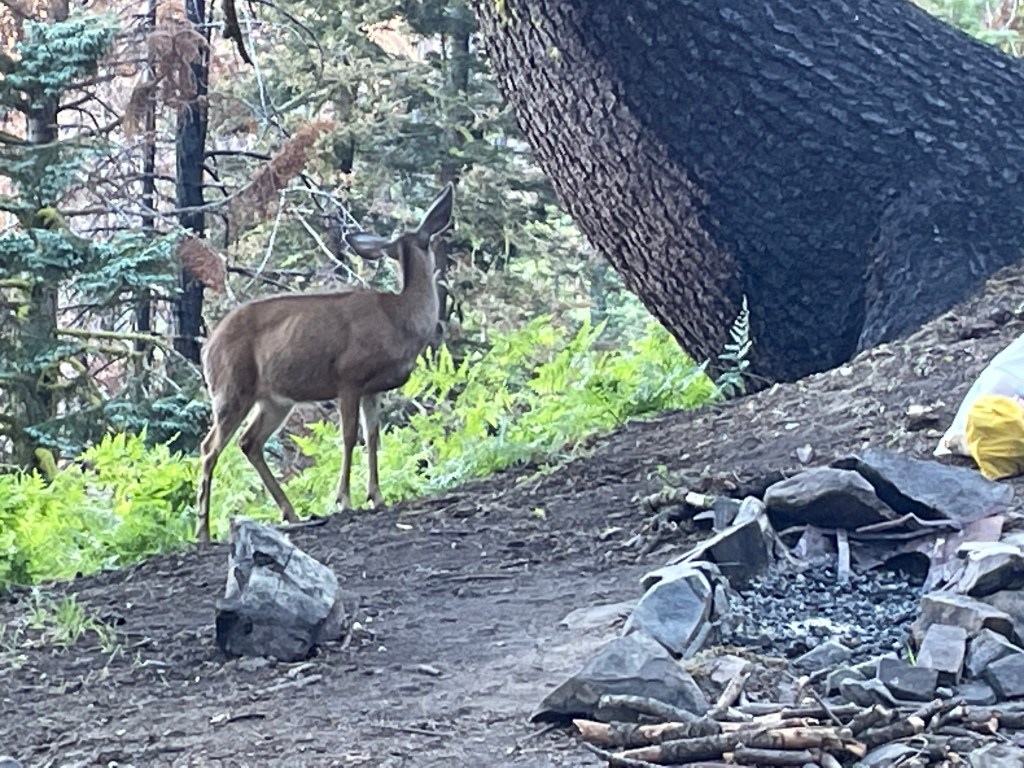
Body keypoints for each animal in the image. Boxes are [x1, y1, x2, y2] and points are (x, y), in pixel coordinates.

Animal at [194, 183, 454, 542]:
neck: (399, 319)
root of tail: (207, 347)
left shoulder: (372, 388)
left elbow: (373, 436)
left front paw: (377, 496)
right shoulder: (349, 377)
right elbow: (348, 436)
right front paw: (344, 498)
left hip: (274, 400)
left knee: (249, 442)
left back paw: (290, 513)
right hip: (232, 388)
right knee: (209, 448)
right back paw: (203, 531)